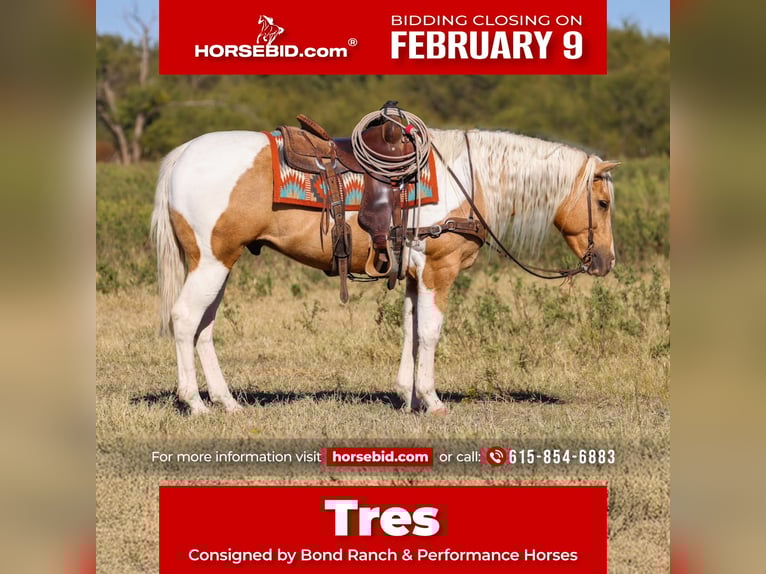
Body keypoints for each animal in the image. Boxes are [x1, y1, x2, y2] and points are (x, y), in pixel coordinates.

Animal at [150, 127, 618, 416]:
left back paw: (227, 402)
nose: (606, 261)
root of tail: (182, 155)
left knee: (205, 328)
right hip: (211, 262)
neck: (465, 179)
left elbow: (411, 331)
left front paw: (407, 398)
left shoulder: (413, 275)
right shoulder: (438, 270)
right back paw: (194, 403)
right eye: (603, 203)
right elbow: (430, 333)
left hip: (218, 264)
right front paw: (431, 400)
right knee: (185, 320)